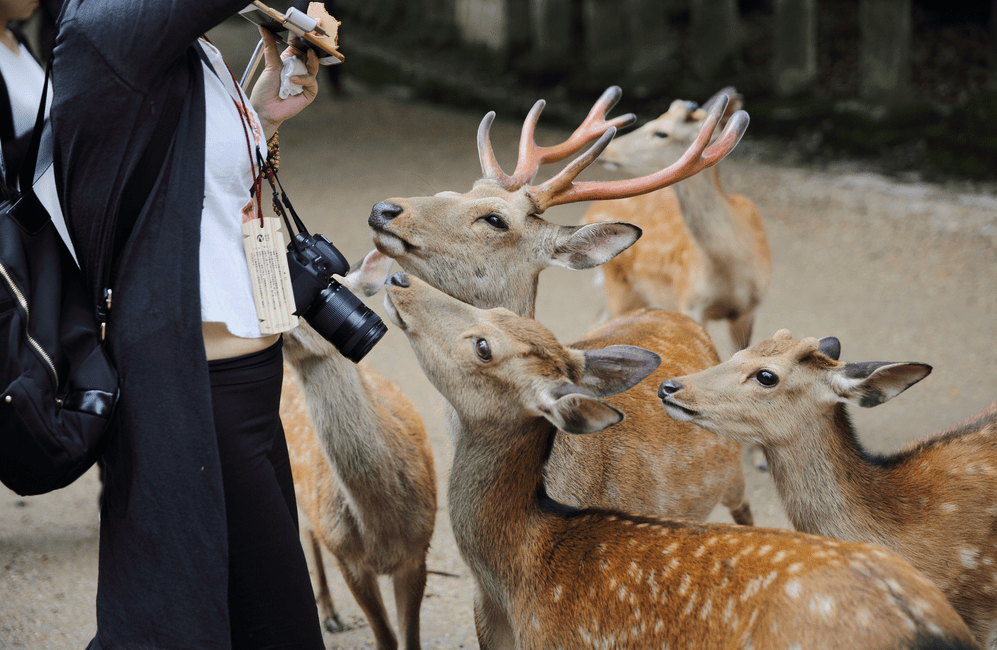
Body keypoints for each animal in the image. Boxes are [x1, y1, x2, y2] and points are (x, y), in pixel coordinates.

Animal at [280, 252, 436, 648]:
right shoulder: (347, 556)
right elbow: (386, 637)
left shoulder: (419, 550)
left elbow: (410, 639)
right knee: (308, 531)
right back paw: (330, 614)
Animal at [584, 86, 772, 352]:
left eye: (661, 132)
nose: (608, 150)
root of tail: (590, 210)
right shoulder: (690, 300)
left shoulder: (749, 308)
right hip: (619, 283)